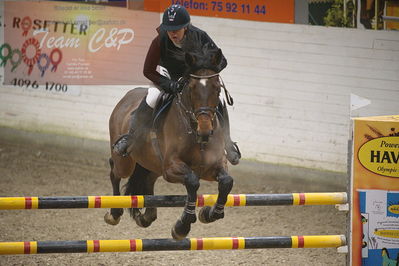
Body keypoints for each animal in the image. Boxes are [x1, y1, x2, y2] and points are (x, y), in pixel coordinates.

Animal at [104, 45, 234, 239]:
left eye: (217, 89)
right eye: (191, 88)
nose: (204, 131)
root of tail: (127, 97)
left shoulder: (212, 166)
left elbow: (226, 182)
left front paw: (209, 213)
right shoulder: (171, 168)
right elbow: (192, 182)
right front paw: (182, 226)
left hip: (153, 165)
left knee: (148, 180)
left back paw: (147, 216)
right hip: (126, 162)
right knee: (115, 171)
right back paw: (114, 213)